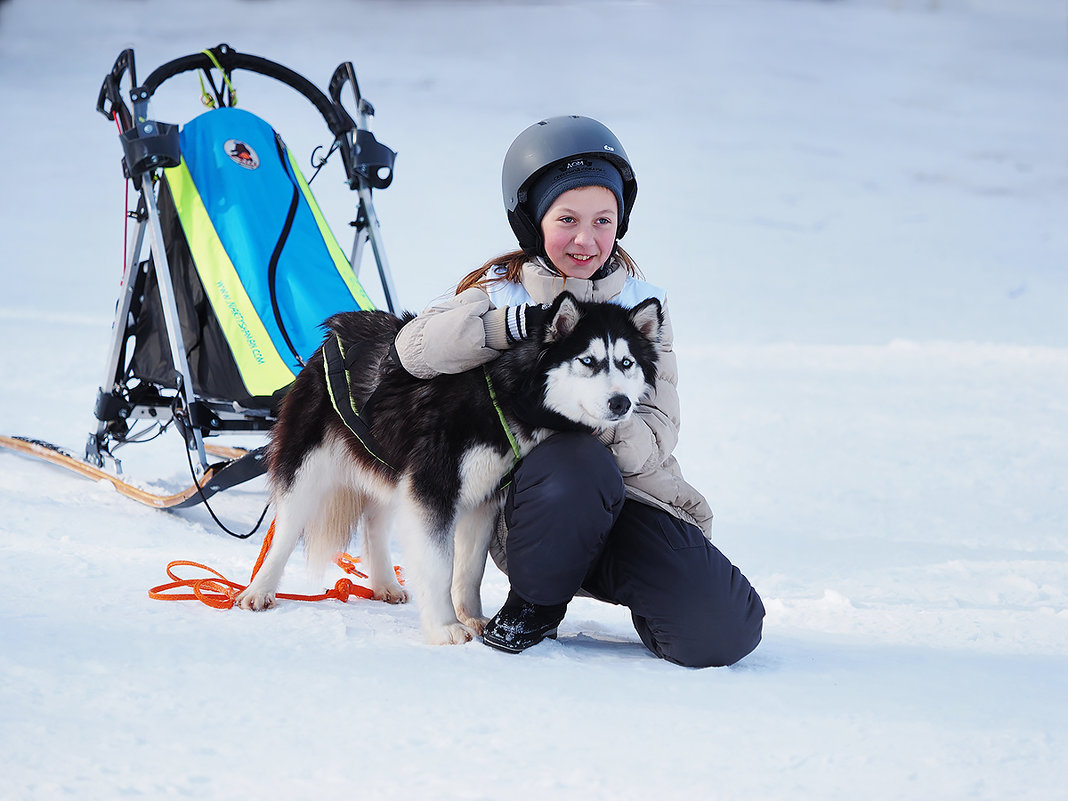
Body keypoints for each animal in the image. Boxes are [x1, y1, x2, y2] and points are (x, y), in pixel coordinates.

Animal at [238, 292, 662, 645]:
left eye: (626, 363)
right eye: (588, 361)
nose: (621, 403)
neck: (507, 395)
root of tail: (338, 327)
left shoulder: (482, 500)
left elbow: (469, 570)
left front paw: (471, 617)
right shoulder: (433, 490)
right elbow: (440, 566)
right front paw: (445, 627)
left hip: (390, 468)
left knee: (375, 525)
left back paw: (384, 583)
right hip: (308, 470)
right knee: (284, 531)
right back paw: (259, 591)